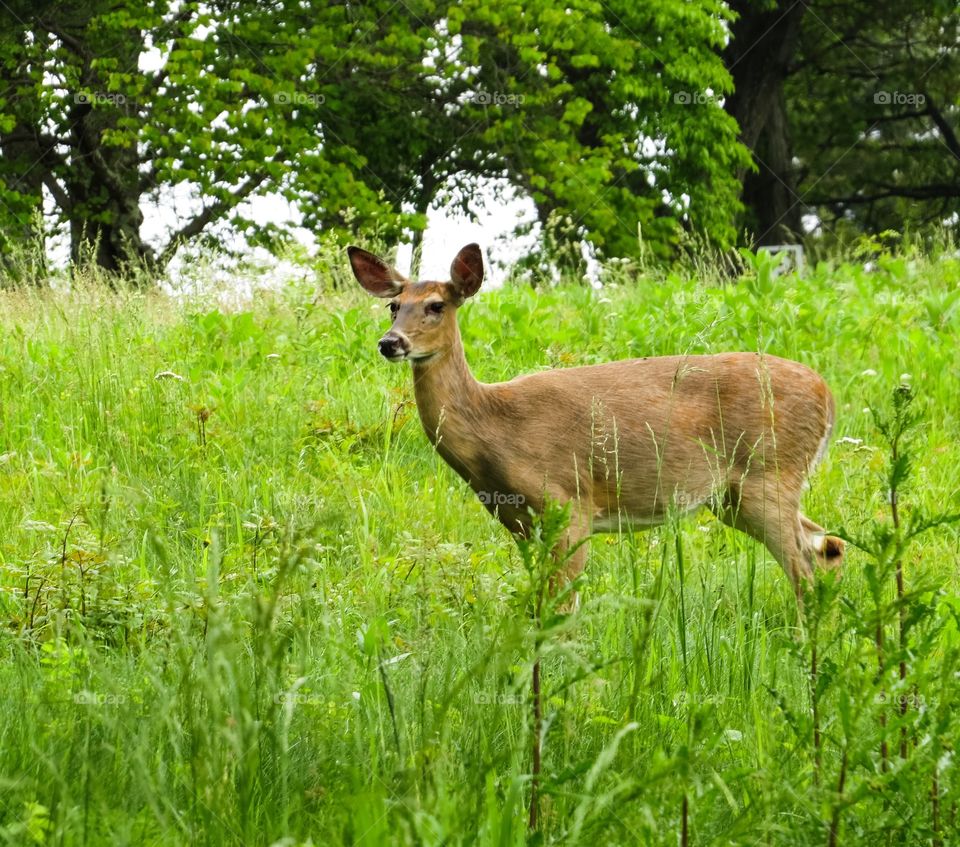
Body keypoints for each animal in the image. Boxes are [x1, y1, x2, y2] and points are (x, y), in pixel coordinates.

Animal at [347, 242, 844, 607]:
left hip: (769, 473)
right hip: (734, 497)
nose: (390, 342)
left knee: (804, 565)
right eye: (393, 305)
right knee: (827, 546)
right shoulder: (519, 522)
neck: (494, 428)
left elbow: (561, 608)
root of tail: (828, 396)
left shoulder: (569, 506)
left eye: (435, 305)